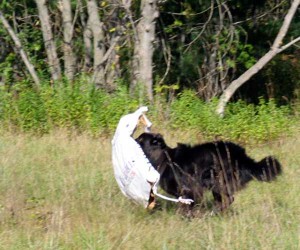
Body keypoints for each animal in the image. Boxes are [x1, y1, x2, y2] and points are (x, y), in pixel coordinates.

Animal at [136, 133, 282, 211]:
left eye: (141, 139)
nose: (132, 138)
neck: (165, 159)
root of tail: (243, 157)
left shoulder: (190, 189)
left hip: (215, 180)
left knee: (228, 199)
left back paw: (215, 212)